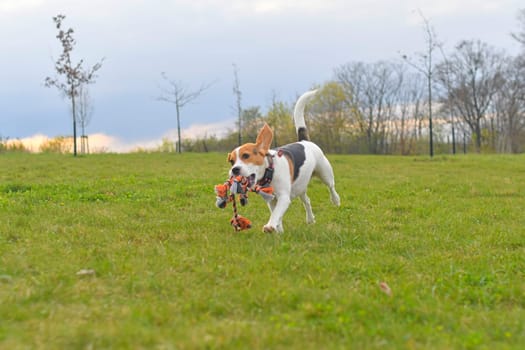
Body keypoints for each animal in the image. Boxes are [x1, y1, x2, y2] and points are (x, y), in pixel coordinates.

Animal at [225, 90, 340, 232]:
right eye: (231, 161)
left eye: (246, 156)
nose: (234, 170)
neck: (270, 171)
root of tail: (304, 141)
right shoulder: (271, 200)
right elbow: (276, 214)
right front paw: (278, 230)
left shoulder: (284, 197)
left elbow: (276, 213)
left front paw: (270, 226)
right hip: (300, 186)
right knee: (307, 201)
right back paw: (310, 219)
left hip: (325, 173)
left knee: (331, 187)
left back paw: (336, 200)